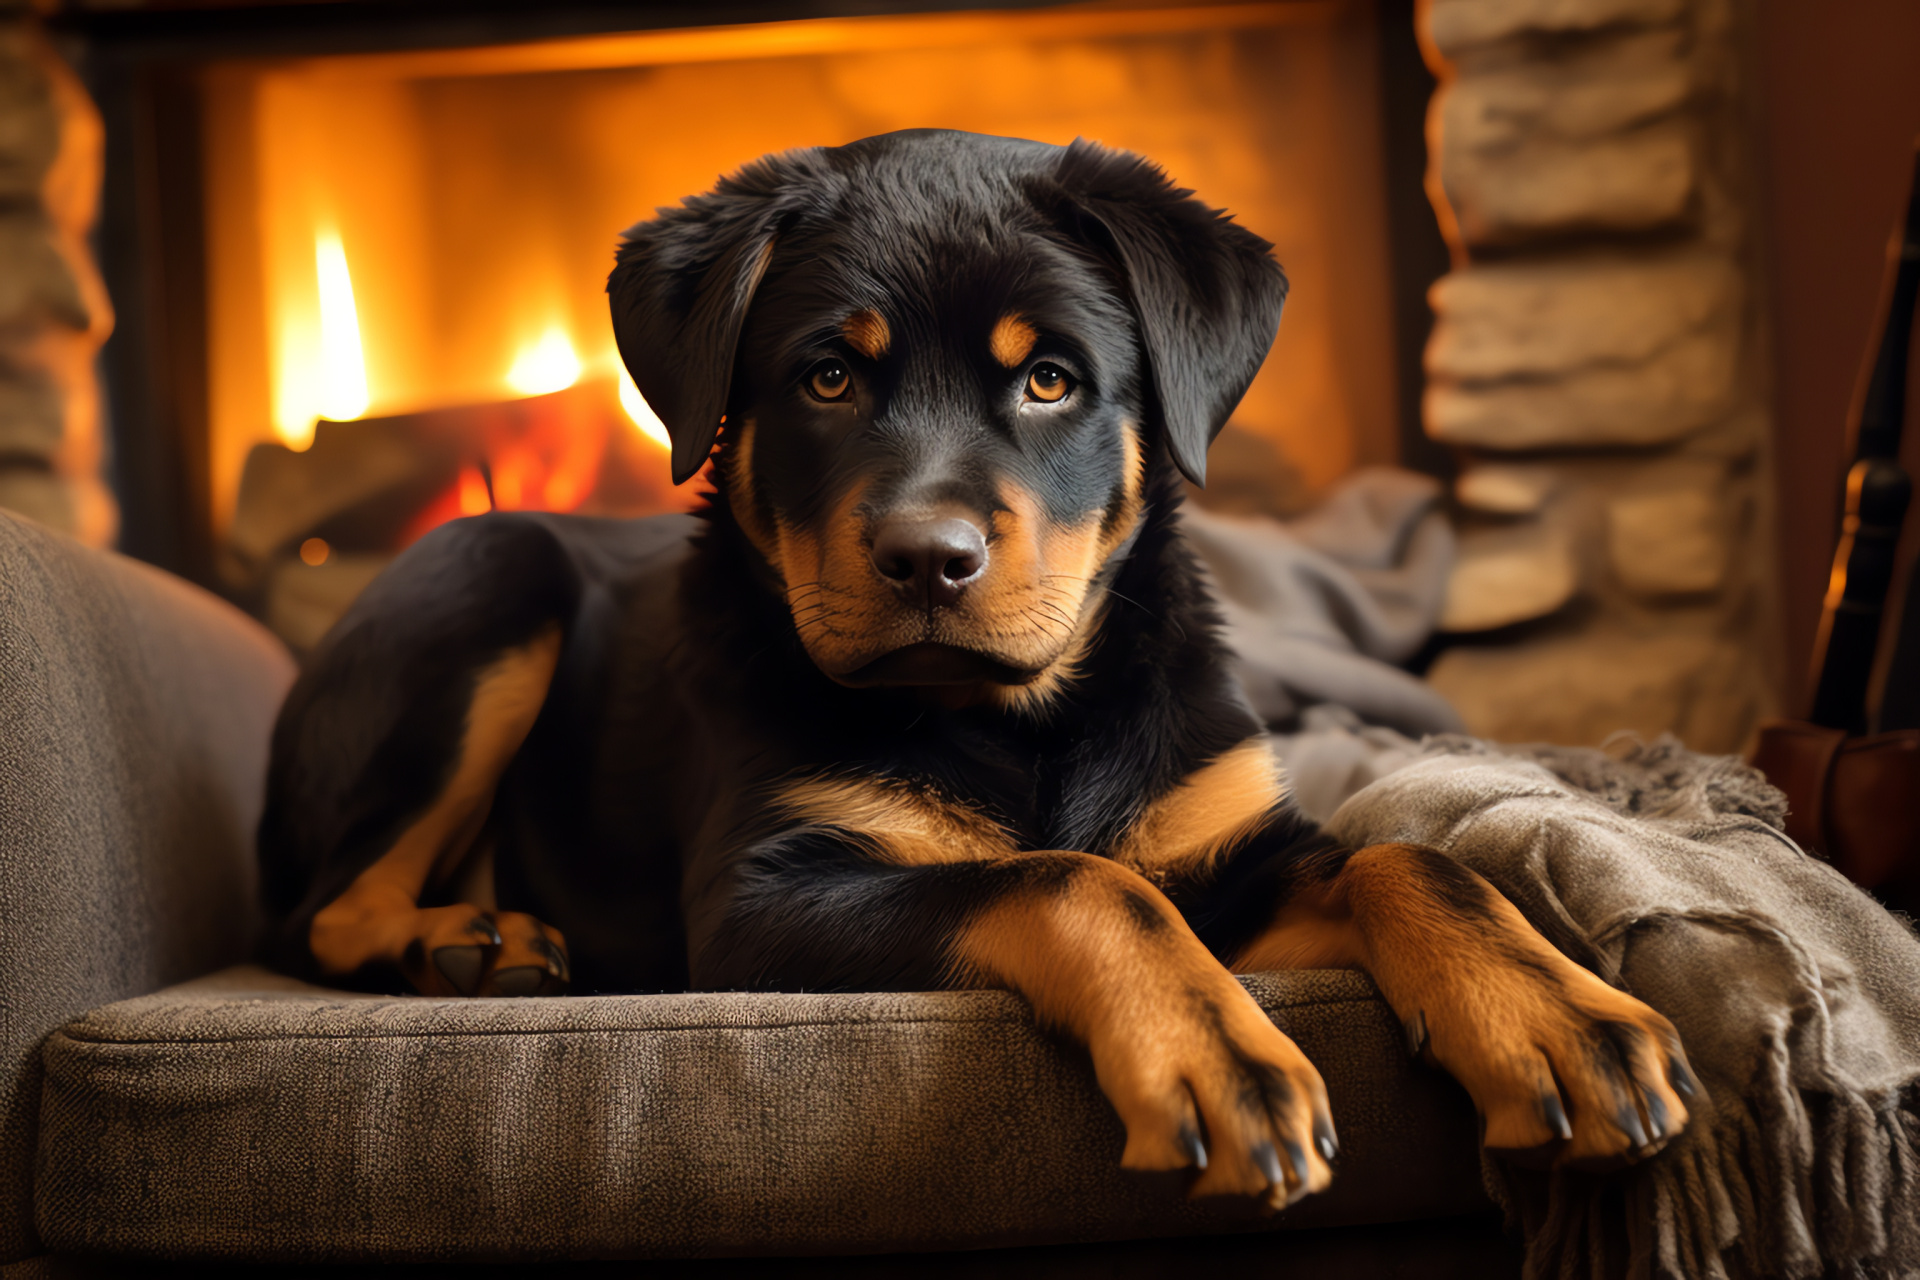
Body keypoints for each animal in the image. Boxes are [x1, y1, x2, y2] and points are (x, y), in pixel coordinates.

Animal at [259, 130, 1697, 1212]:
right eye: (826, 377)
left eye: (1052, 379)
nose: (925, 558)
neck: (1021, 719)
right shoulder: (761, 901)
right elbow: (1071, 879)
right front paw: (1220, 1056)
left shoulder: (1224, 842)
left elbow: (1409, 859)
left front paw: (1563, 1019)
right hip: (492, 576)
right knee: (323, 910)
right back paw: (472, 940)